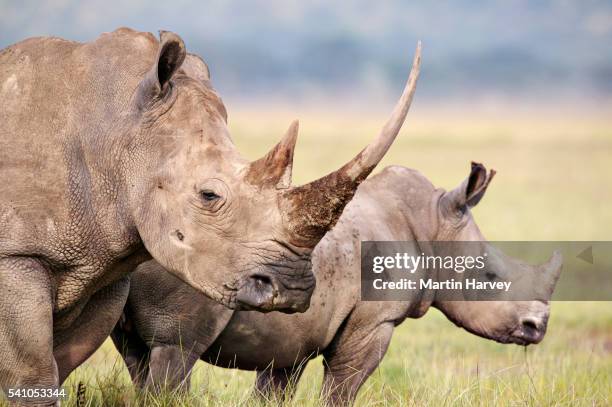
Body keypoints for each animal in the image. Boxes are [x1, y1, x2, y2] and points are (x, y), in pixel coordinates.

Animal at [0, 27, 420, 402]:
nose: (293, 290)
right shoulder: (16, 254)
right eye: (209, 195)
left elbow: (61, 361)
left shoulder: (101, 264)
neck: (117, 133)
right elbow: (34, 370)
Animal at [112, 162, 560, 404]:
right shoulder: (374, 322)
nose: (537, 327)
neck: (432, 225)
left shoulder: (291, 338)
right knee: (176, 350)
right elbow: (343, 389)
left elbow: (274, 390)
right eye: (490, 276)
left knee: (137, 355)